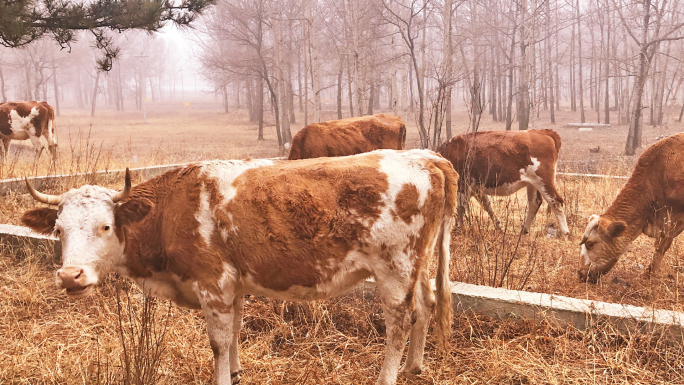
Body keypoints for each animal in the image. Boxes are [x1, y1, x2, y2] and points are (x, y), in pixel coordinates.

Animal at [21, 149, 460, 384]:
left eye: (106, 225)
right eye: (58, 229)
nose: (70, 276)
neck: (170, 209)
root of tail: (425, 156)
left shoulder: (212, 281)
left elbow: (218, 341)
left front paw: (221, 375)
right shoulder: (232, 285)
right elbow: (233, 333)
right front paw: (234, 372)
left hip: (395, 268)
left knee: (400, 322)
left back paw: (389, 375)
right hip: (417, 266)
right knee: (425, 306)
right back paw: (416, 366)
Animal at [438, 129, 572, 237]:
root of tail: (542, 132)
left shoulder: (462, 186)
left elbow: (460, 208)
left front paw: (459, 229)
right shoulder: (476, 188)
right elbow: (487, 205)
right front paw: (498, 226)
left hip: (543, 180)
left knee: (556, 201)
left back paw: (565, 233)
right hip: (532, 184)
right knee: (535, 203)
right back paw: (524, 230)